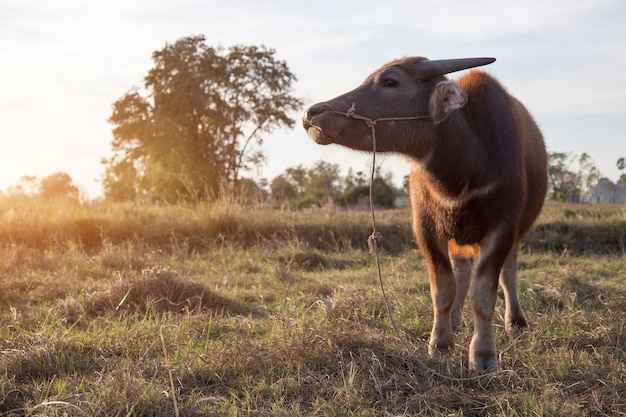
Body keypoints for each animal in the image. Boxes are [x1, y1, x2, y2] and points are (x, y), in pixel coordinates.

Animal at [302, 56, 544, 370]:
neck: (464, 171)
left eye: (390, 81)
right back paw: (455, 321)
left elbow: (484, 292)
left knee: (508, 272)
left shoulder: (503, 228)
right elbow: (443, 288)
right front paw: (440, 343)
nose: (313, 113)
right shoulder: (426, 228)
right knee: (461, 271)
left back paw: (515, 321)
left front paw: (483, 355)